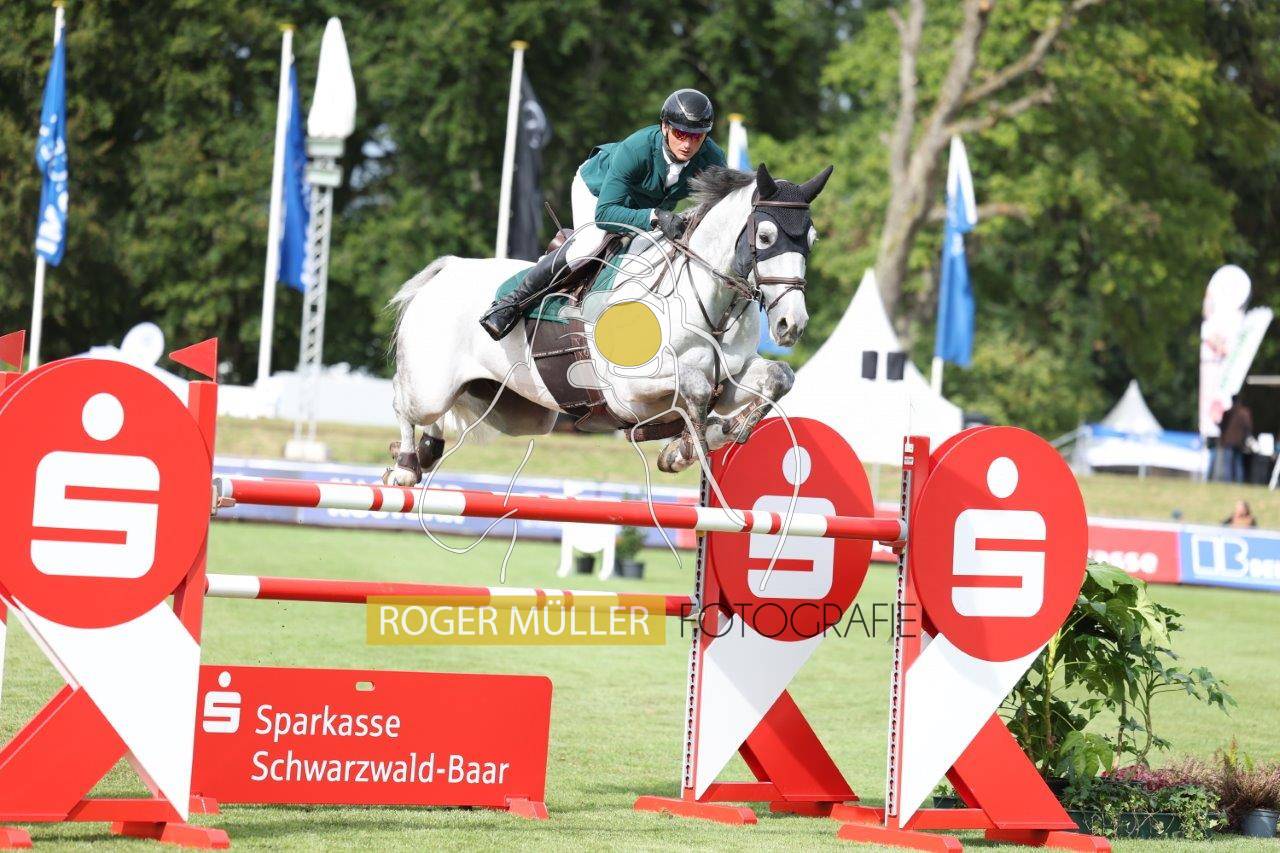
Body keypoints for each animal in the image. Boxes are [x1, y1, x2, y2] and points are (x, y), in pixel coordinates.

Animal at [383, 162, 833, 487]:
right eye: (765, 237)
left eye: (811, 241)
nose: (791, 324)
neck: (706, 304)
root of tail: (447, 269)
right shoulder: (628, 390)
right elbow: (696, 386)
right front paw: (687, 447)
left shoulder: (733, 378)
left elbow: (778, 377)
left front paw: (714, 436)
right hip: (431, 387)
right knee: (403, 400)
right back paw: (405, 465)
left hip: (514, 412)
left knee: (438, 417)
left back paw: (428, 449)